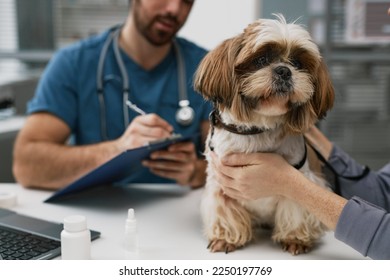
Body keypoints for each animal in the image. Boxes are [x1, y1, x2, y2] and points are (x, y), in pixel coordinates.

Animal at [193, 15, 334, 256]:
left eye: (297, 64)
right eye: (260, 60)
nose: (284, 71)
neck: (259, 129)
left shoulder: (301, 179)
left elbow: (295, 208)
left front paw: (295, 239)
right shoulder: (220, 184)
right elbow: (225, 212)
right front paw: (225, 238)